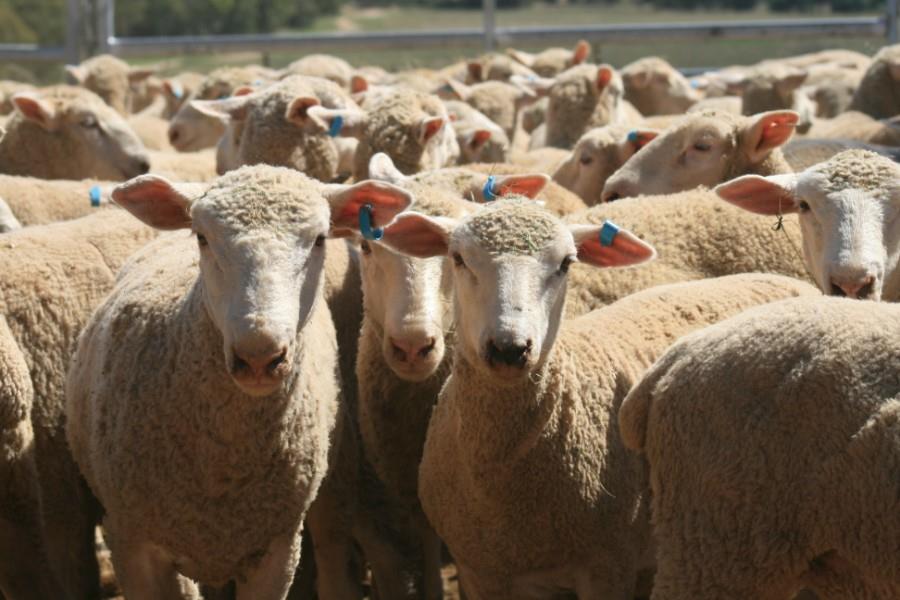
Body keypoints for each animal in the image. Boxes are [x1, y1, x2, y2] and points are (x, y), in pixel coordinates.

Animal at [65, 166, 413, 597]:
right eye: (201, 237)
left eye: (319, 239)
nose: (259, 356)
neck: (224, 467)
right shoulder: (131, 542)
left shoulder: (278, 550)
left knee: (333, 546)